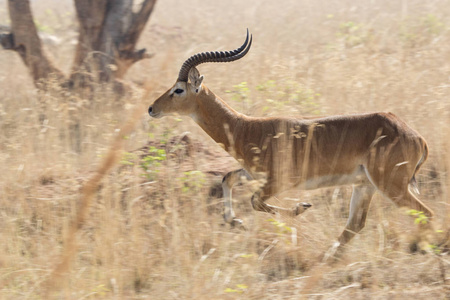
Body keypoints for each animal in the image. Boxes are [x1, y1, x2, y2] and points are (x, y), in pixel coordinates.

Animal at [148, 30, 432, 254]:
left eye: (178, 89)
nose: (151, 109)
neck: (246, 128)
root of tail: (416, 136)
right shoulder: (253, 174)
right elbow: (227, 178)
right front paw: (235, 222)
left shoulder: (280, 181)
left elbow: (255, 201)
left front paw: (301, 207)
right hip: (365, 186)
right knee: (355, 225)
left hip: (390, 186)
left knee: (425, 214)